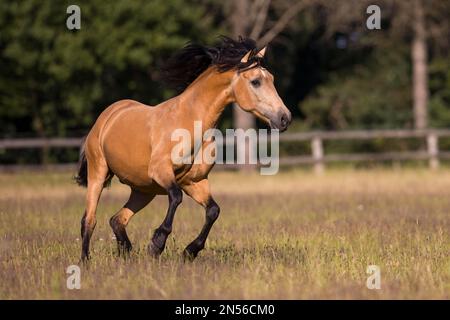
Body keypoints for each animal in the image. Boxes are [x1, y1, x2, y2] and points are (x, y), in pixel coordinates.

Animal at [74, 36, 292, 262]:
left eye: (272, 79)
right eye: (255, 81)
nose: (285, 118)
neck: (189, 121)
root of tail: (107, 116)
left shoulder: (194, 181)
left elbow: (213, 210)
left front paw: (190, 250)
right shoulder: (162, 172)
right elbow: (176, 198)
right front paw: (157, 244)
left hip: (143, 190)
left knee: (118, 219)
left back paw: (125, 251)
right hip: (98, 173)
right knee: (89, 219)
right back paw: (86, 260)